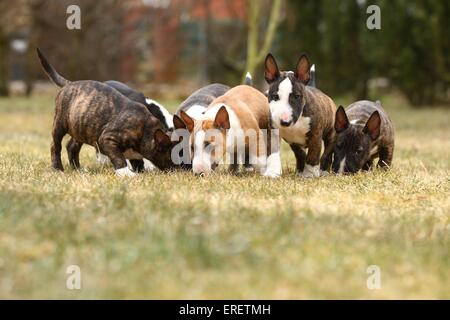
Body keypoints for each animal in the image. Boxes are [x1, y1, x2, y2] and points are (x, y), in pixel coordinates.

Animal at [37, 48, 175, 178]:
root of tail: (70, 83)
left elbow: (136, 160)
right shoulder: (107, 138)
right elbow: (119, 158)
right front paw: (126, 173)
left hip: (81, 125)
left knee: (71, 146)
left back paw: (78, 169)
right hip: (60, 124)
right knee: (55, 145)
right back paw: (57, 168)